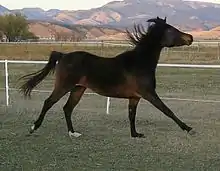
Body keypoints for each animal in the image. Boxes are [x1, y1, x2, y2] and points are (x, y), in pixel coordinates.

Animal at [18, 16, 194, 138]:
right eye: (171, 30)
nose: (190, 38)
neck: (139, 62)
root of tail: (63, 55)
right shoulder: (149, 94)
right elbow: (167, 110)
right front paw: (188, 128)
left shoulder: (135, 97)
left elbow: (131, 115)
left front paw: (135, 134)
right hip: (64, 86)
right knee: (49, 102)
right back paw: (33, 127)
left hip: (78, 89)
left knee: (67, 108)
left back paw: (73, 133)